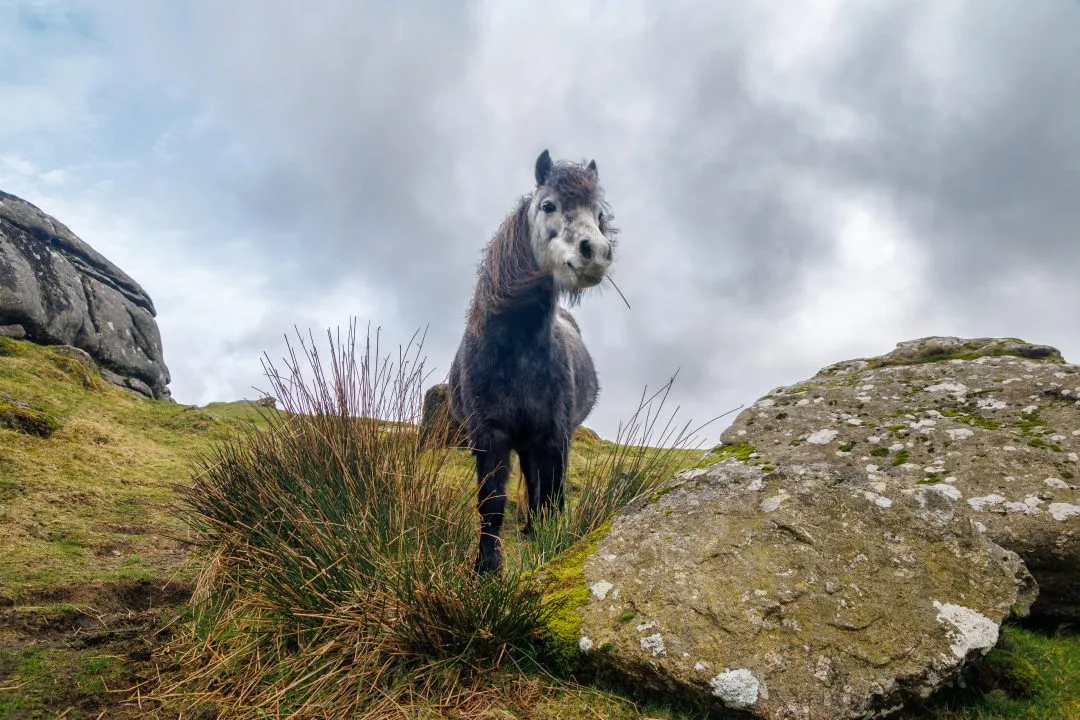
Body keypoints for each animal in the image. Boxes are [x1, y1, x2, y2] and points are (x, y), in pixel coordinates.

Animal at [447, 149, 618, 574]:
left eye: (599, 214)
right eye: (548, 205)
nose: (597, 253)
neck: (515, 352)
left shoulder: (554, 437)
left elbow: (551, 498)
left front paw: (549, 549)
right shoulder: (488, 436)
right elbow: (491, 504)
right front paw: (486, 567)